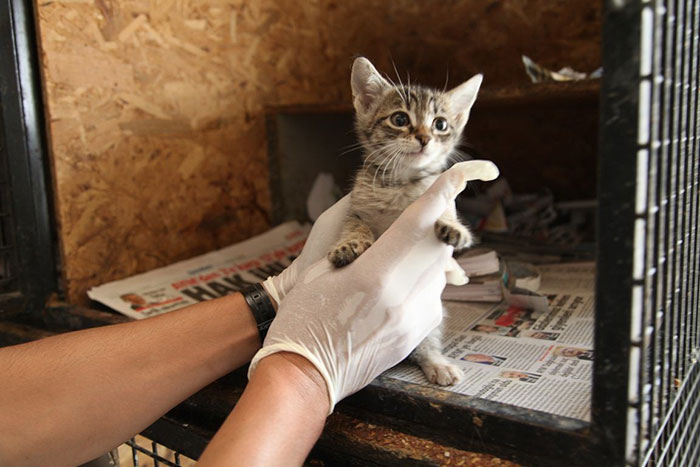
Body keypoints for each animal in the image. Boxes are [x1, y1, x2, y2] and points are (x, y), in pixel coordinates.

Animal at [326, 56, 482, 386]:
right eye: (399, 119)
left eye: (440, 124)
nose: (424, 137)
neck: (400, 184)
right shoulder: (356, 207)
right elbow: (355, 224)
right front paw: (349, 244)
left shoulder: (436, 194)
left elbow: (445, 211)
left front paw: (453, 227)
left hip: (430, 316)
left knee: (424, 346)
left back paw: (437, 363)